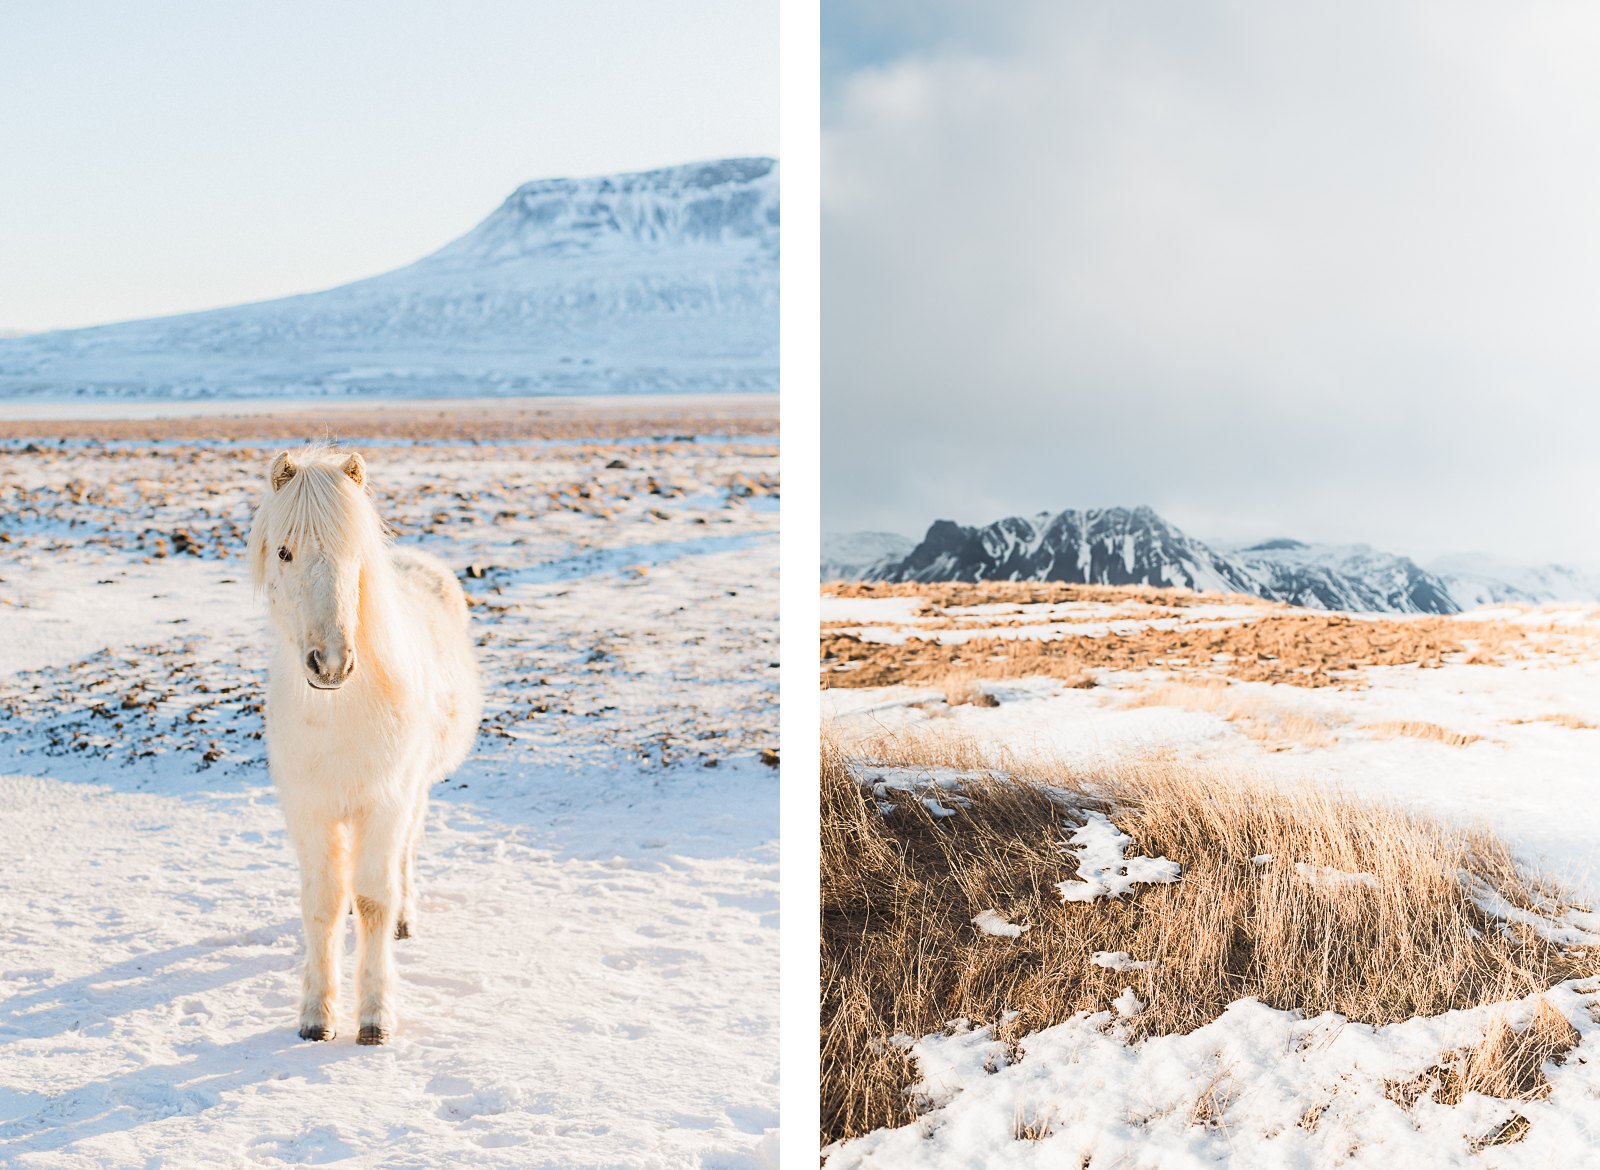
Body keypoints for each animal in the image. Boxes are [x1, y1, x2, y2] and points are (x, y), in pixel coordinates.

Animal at [246, 444, 483, 1043]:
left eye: (355, 554)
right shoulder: (309, 810)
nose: (330, 663)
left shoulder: (385, 801)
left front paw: (375, 1016)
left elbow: (375, 900)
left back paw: (404, 920)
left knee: (404, 856)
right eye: (284, 551)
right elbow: (324, 903)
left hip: (411, 794)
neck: (338, 714)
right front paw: (316, 1014)